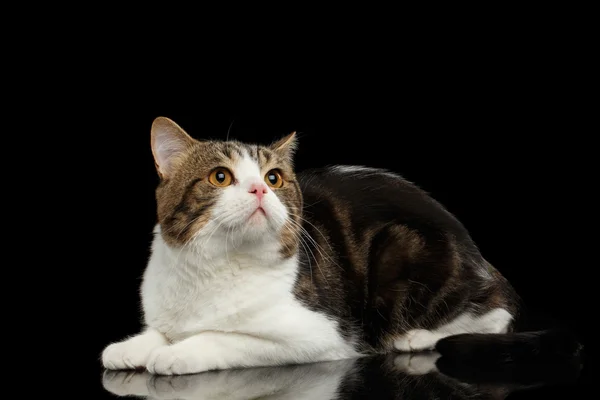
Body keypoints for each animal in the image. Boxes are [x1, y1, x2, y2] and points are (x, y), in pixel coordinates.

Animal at [99, 115, 580, 376]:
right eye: (221, 177)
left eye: (274, 178)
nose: (260, 190)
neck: (212, 266)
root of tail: (480, 256)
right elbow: (159, 329)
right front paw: (132, 347)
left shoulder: (319, 334)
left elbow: (222, 336)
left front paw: (176, 353)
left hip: (403, 250)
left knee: (495, 315)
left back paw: (416, 336)